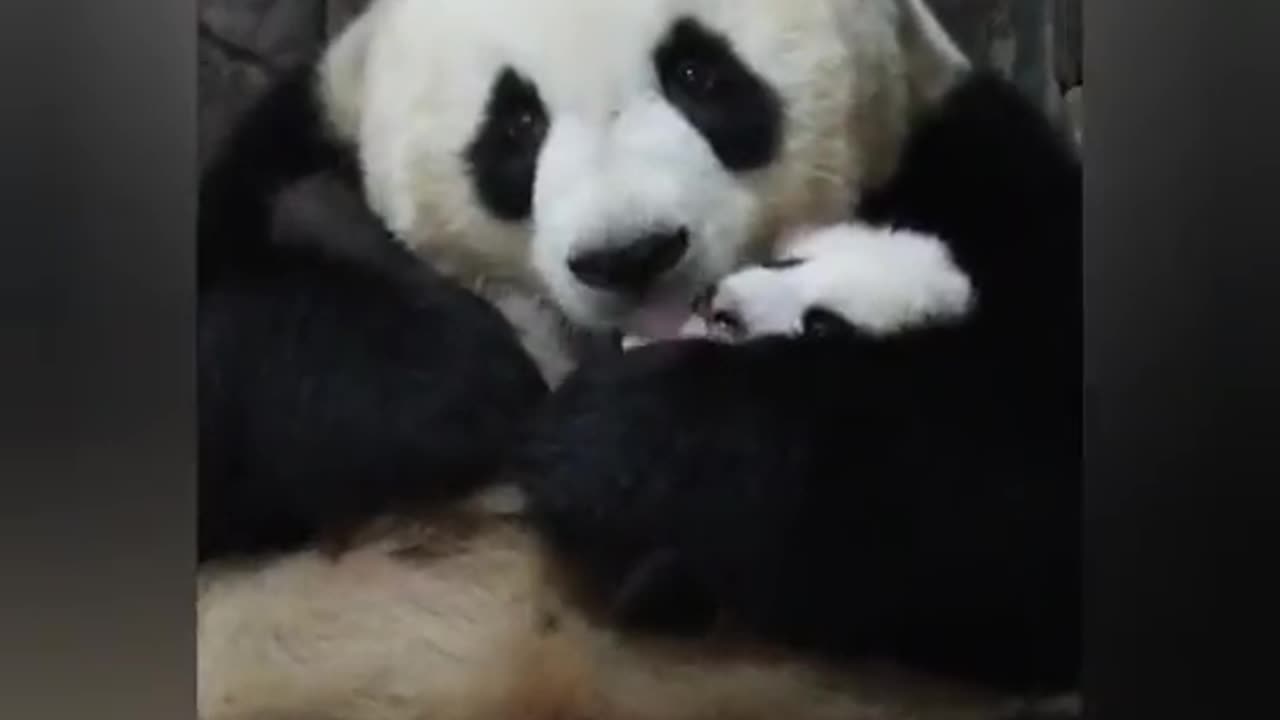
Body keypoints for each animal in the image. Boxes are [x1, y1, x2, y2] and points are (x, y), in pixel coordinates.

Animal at [197, 0, 1080, 712]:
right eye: (516, 123)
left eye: (699, 73)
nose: (630, 256)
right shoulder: (295, 143)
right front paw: (446, 381)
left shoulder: (968, 163)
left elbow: (1019, 470)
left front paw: (623, 447)